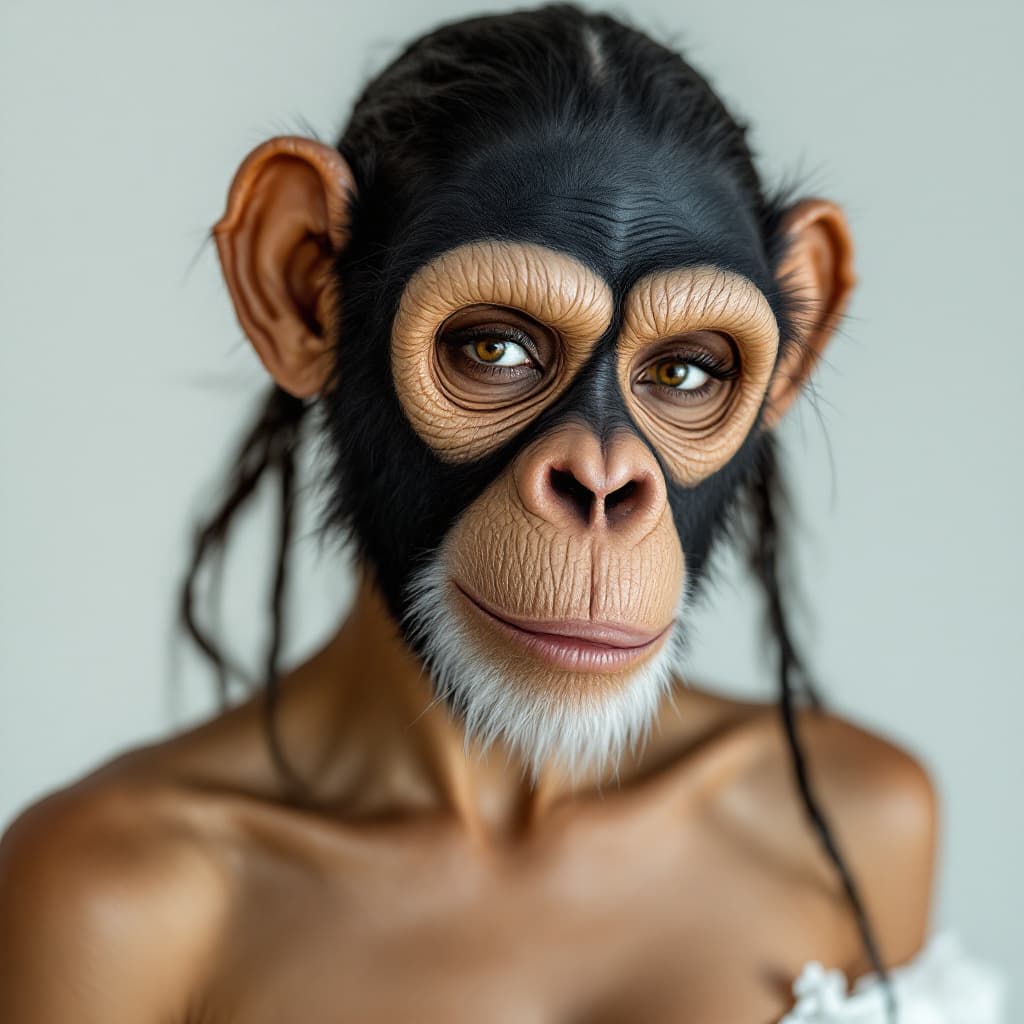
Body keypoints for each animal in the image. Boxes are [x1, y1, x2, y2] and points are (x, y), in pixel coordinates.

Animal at [0, 6, 942, 1023]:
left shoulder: (885, 797)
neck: (503, 800)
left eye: (685, 371)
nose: (602, 489)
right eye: (494, 350)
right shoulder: (82, 889)